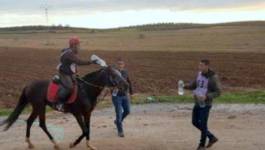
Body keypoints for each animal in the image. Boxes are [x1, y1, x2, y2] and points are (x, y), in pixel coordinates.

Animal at [0, 66, 128, 149]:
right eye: (114, 75)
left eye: (120, 73)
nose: (126, 85)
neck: (86, 90)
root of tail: (28, 85)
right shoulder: (77, 114)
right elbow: (85, 130)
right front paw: (73, 143)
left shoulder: (87, 113)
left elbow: (87, 129)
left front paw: (89, 144)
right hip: (39, 107)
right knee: (41, 124)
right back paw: (55, 143)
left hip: (38, 107)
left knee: (30, 121)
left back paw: (30, 143)